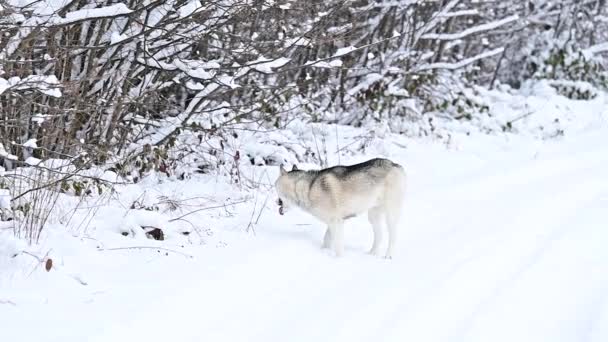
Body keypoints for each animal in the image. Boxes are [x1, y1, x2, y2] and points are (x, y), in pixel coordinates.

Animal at [274, 157, 406, 256]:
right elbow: (326, 240)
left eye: (276, 188)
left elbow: (338, 246)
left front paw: (338, 259)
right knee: (379, 236)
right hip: (373, 216)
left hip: (391, 215)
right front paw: (323, 251)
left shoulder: (336, 223)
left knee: (393, 236)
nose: (276, 202)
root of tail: (395, 165)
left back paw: (388, 256)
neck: (308, 189)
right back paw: (371, 254)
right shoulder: (332, 223)